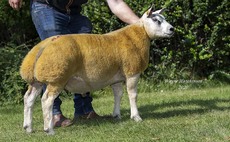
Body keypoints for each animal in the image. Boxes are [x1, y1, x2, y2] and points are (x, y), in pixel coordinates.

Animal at [21, 5, 174, 134]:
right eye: (156, 20)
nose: (172, 29)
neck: (141, 33)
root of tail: (42, 47)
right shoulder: (132, 71)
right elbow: (132, 95)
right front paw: (136, 117)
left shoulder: (116, 77)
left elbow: (118, 94)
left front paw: (116, 115)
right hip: (57, 77)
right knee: (47, 100)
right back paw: (49, 129)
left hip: (37, 80)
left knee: (28, 99)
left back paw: (28, 127)